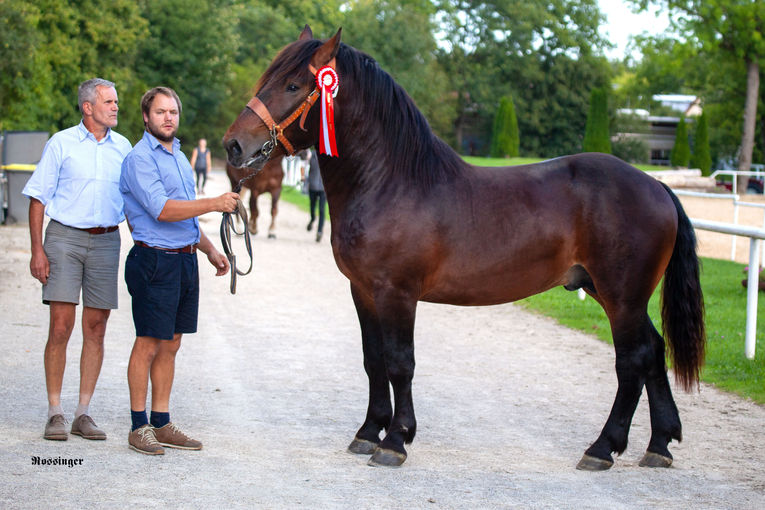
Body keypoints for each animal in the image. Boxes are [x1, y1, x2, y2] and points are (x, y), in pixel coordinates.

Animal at [221, 26, 704, 470]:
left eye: (293, 86)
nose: (233, 145)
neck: (391, 183)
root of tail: (657, 186)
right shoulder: (363, 291)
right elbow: (373, 360)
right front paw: (368, 431)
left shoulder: (398, 293)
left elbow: (400, 362)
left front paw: (395, 441)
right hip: (609, 292)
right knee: (653, 351)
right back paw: (659, 445)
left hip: (622, 296)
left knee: (632, 360)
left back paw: (603, 448)